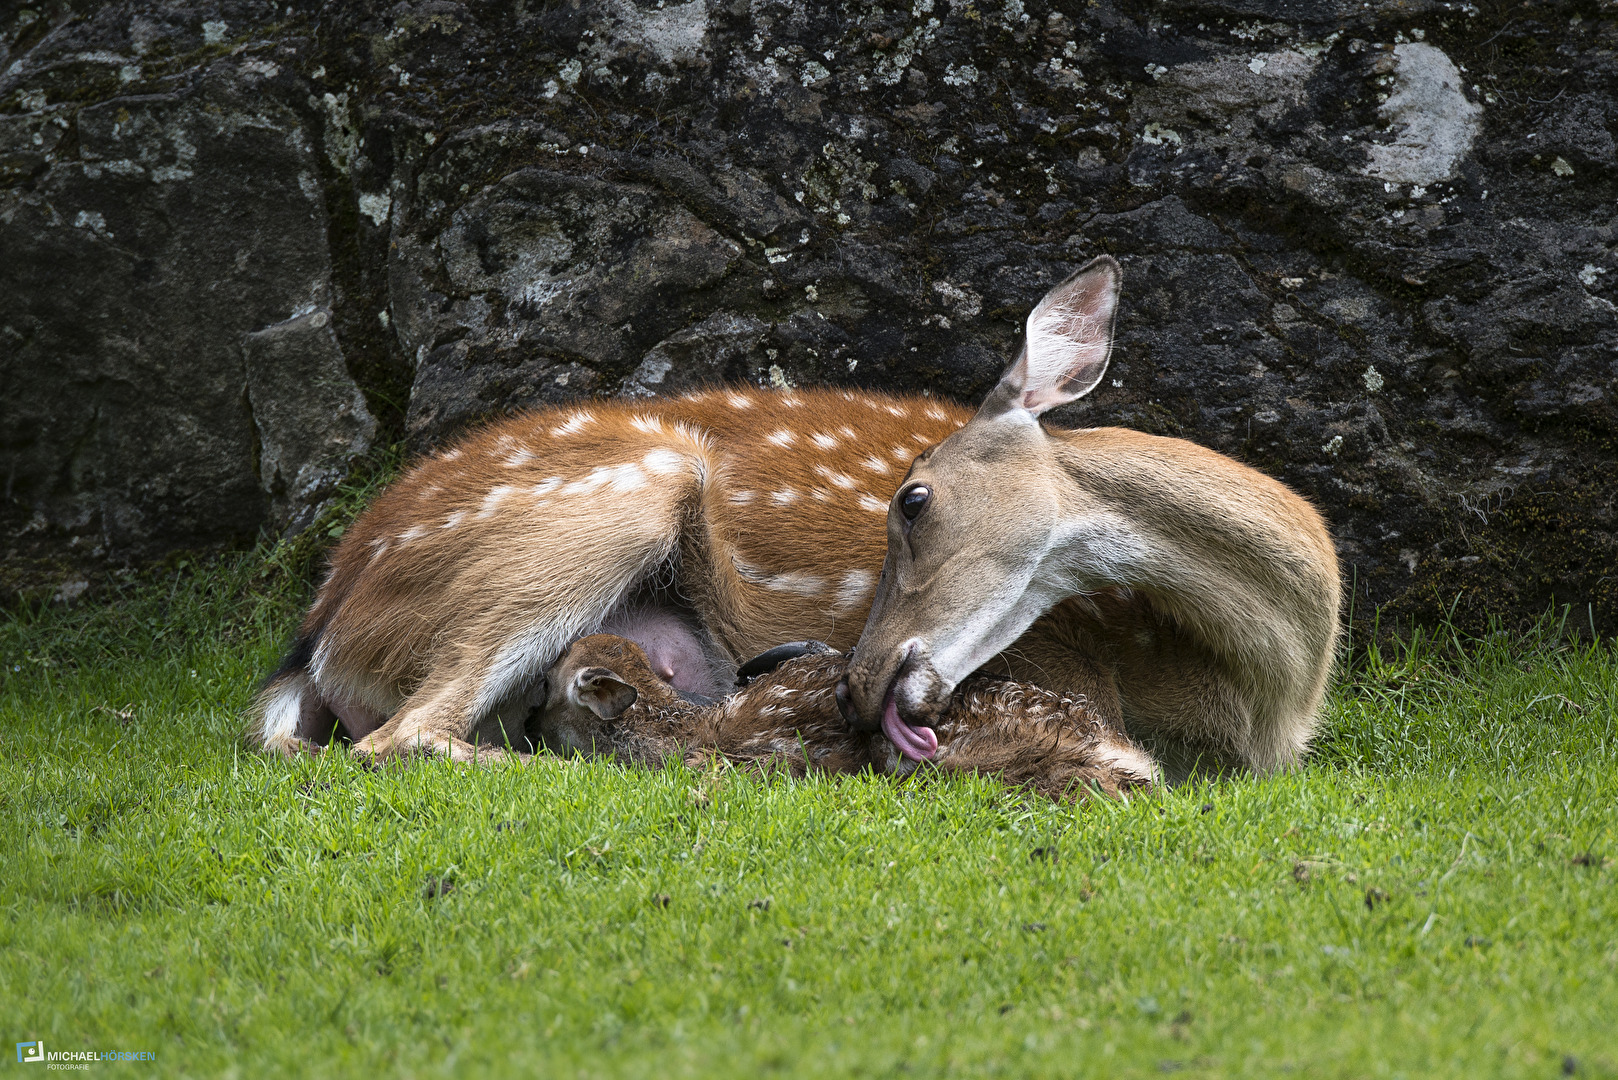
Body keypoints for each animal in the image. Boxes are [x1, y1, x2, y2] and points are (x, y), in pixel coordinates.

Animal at [252, 257, 1339, 780]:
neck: (1267, 704)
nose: (861, 681)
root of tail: (321, 630)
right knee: (399, 737)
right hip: (614, 498)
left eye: (914, 496)